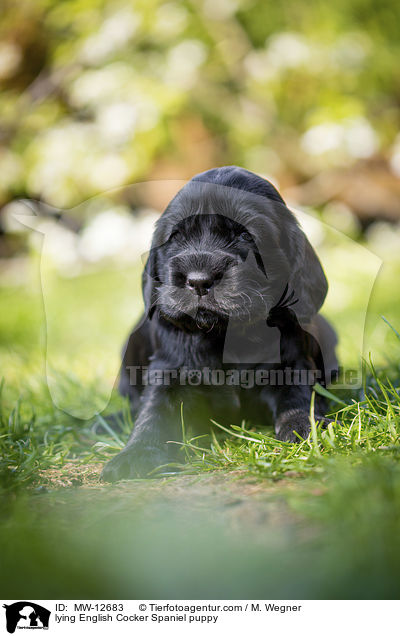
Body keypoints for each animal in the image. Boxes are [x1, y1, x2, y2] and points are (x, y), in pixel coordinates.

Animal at [102, 166, 338, 480]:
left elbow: (300, 399)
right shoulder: (168, 370)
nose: (199, 280)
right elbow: (154, 412)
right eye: (176, 236)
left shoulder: (292, 362)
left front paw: (305, 429)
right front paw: (135, 453)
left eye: (245, 235)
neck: (223, 334)